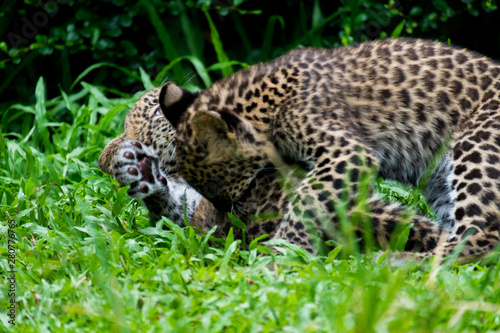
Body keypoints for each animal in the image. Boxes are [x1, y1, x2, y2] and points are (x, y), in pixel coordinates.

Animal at [159, 38, 500, 262]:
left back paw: (397, 262)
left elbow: (305, 202)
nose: (224, 212)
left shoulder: (347, 153)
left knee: (483, 237)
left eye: (216, 186)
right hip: (439, 179)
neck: (266, 108)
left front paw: (283, 253)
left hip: (477, 145)